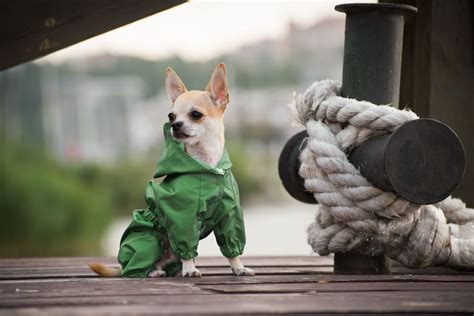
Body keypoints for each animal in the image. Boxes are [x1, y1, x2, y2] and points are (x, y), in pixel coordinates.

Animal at [90, 63, 258, 278]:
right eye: (171, 116)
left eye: (195, 114)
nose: (175, 125)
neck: (208, 166)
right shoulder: (183, 216)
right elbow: (185, 243)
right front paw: (190, 269)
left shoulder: (229, 215)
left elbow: (231, 248)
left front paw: (238, 267)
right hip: (150, 239)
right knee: (134, 269)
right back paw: (154, 272)